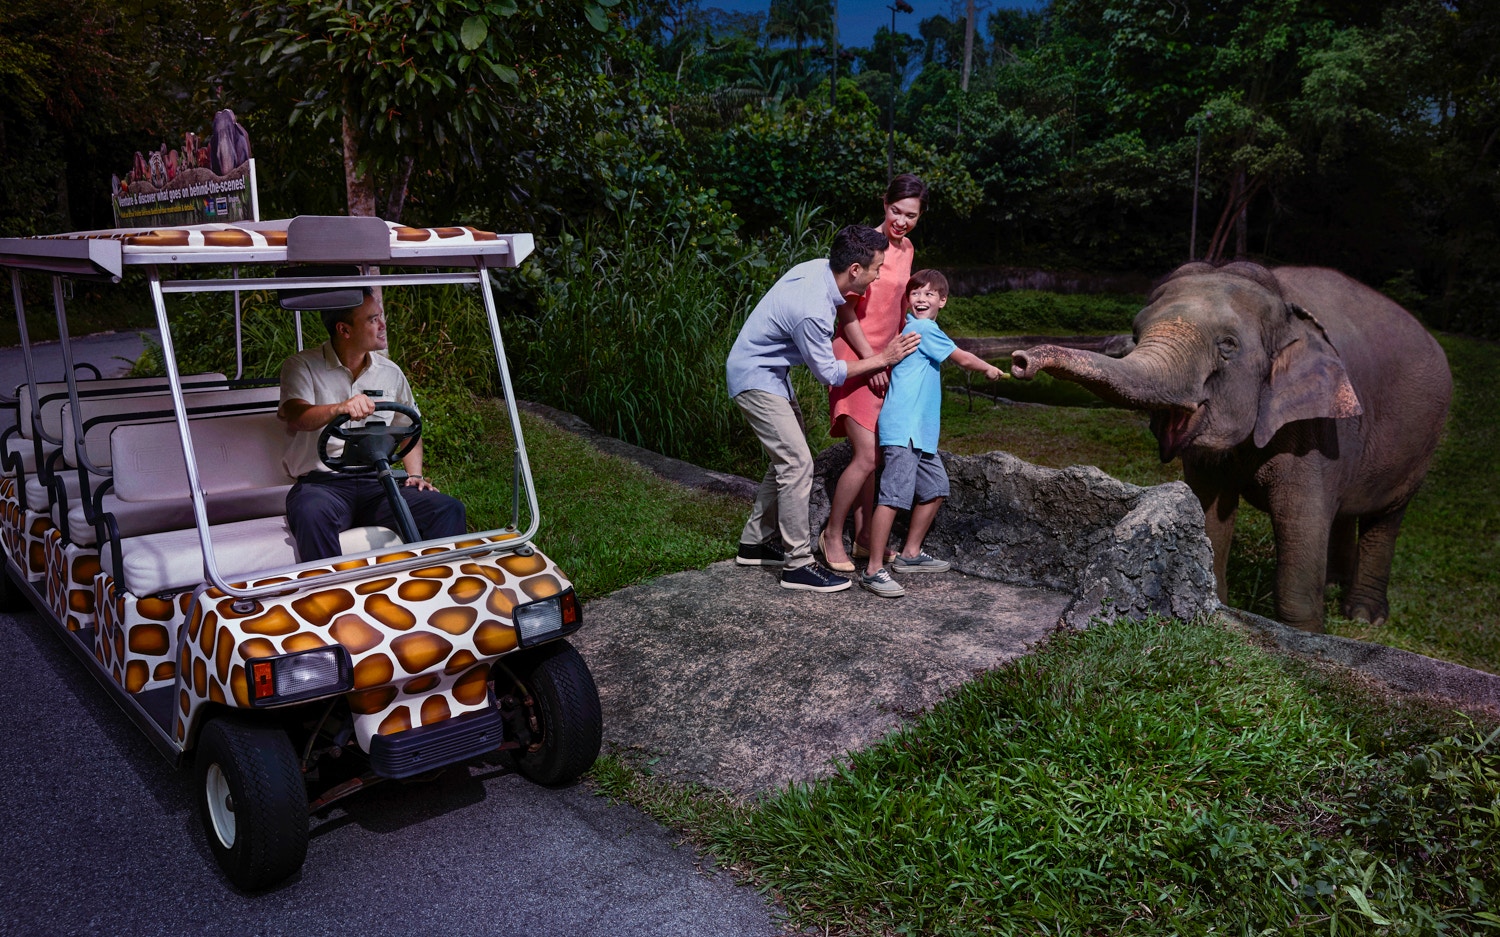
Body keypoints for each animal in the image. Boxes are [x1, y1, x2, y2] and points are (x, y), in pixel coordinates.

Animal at [1010, 262, 1451, 632]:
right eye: (1135, 334)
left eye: (1228, 345)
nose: (1019, 361)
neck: (1282, 302)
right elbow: (1207, 511)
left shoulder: (1316, 427)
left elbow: (1302, 523)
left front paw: (1306, 633)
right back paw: (1333, 585)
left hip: (1421, 445)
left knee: (1386, 517)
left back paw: (1364, 617)